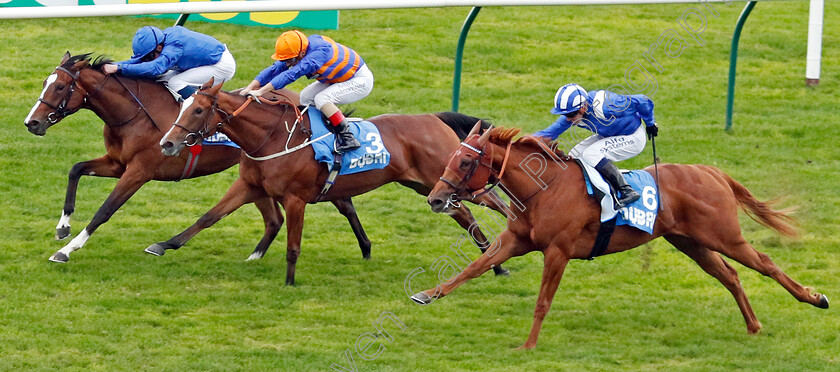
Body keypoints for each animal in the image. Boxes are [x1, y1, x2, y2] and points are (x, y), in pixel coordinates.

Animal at [23, 52, 370, 264]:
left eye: (61, 87)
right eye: (45, 83)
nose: (32, 123)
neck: (134, 114)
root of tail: (301, 102)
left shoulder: (139, 171)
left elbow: (105, 210)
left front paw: (67, 249)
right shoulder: (117, 163)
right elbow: (76, 169)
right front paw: (63, 227)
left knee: (341, 203)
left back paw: (366, 248)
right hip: (254, 175)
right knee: (276, 219)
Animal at [156, 80, 512, 284]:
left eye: (198, 110)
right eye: (184, 106)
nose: (167, 143)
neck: (272, 137)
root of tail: (434, 118)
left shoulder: (295, 198)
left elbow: (293, 245)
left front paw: (289, 282)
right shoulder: (248, 185)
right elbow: (208, 217)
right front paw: (163, 245)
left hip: (451, 181)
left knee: (495, 203)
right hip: (432, 188)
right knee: (466, 215)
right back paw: (494, 263)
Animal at [412, 125, 828, 348]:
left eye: (466, 161)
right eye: (451, 157)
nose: (435, 198)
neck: (543, 188)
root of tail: (710, 171)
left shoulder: (558, 251)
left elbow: (543, 301)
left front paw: (528, 345)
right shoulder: (516, 241)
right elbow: (473, 268)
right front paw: (427, 294)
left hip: (725, 236)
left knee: (766, 264)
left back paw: (814, 298)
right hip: (691, 243)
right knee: (730, 275)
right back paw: (753, 326)